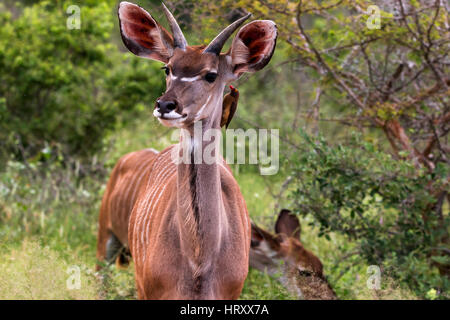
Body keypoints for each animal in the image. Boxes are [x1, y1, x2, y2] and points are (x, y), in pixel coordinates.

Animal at [96, 1, 276, 298]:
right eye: (167, 68)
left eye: (211, 75)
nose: (165, 105)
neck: (198, 261)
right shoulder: (149, 289)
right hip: (106, 243)